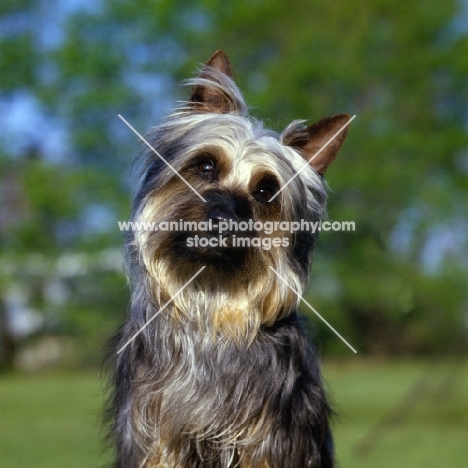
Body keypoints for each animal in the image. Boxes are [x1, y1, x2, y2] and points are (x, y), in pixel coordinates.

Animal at [109, 51, 352, 468]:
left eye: (267, 190)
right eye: (205, 166)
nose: (223, 219)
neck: (212, 297)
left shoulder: (270, 438)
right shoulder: (155, 432)